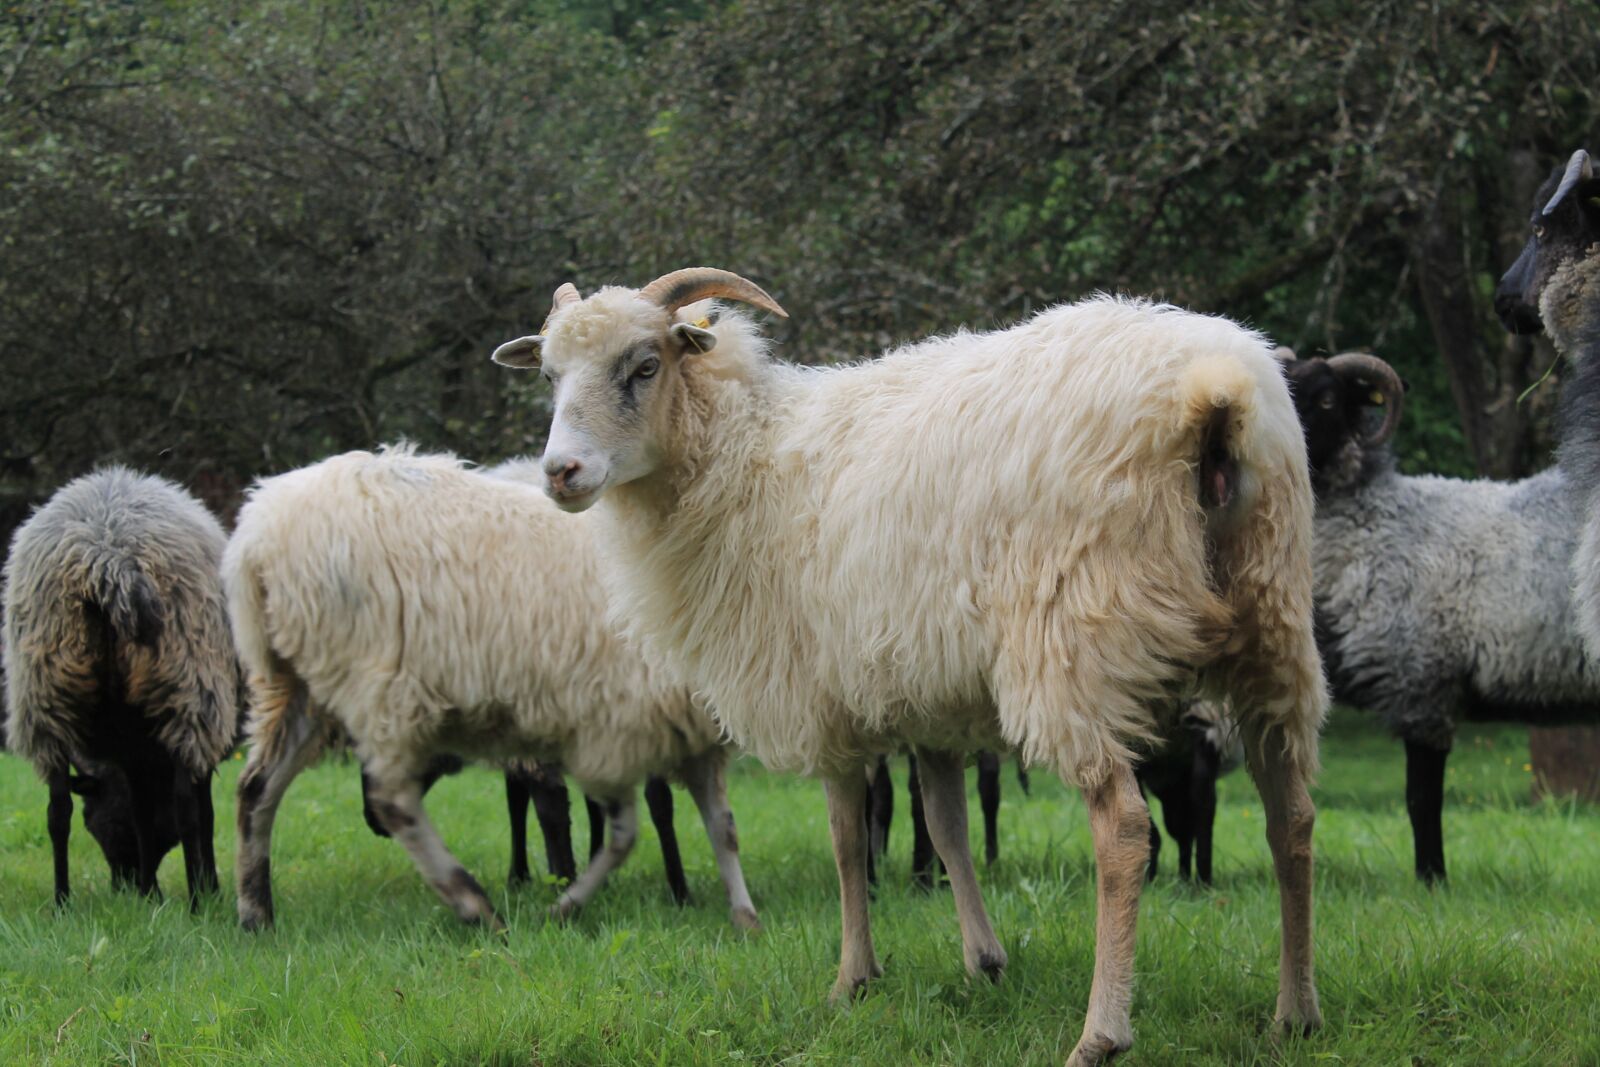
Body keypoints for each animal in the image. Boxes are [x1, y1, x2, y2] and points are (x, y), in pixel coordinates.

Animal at [2, 467, 239, 905]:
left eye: (95, 821)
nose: (123, 884)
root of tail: (107, 558)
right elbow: (202, 812)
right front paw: (204, 885)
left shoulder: (132, 748)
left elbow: (144, 816)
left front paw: (152, 893)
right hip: (189, 689)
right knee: (187, 809)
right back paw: (196, 905)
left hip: (45, 692)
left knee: (57, 810)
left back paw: (62, 902)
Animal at [226, 446, 759, 933]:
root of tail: (254, 534)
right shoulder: (614, 724)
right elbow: (621, 833)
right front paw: (565, 904)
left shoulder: (690, 733)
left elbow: (723, 827)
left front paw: (744, 916)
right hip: (376, 679)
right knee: (390, 800)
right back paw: (473, 904)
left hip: (298, 682)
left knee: (257, 789)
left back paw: (257, 915)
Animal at [492, 268, 1327, 1063]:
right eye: (549, 375)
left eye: (644, 365)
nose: (561, 471)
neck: (742, 456)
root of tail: (1213, 390)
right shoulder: (929, 692)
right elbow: (946, 826)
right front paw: (983, 960)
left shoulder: (824, 690)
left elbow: (846, 836)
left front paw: (851, 978)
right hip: (1274, 626)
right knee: (1291, 817)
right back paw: (1296, 1013)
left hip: (1075, 639)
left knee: (1123, 828)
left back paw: (1102, 1032)